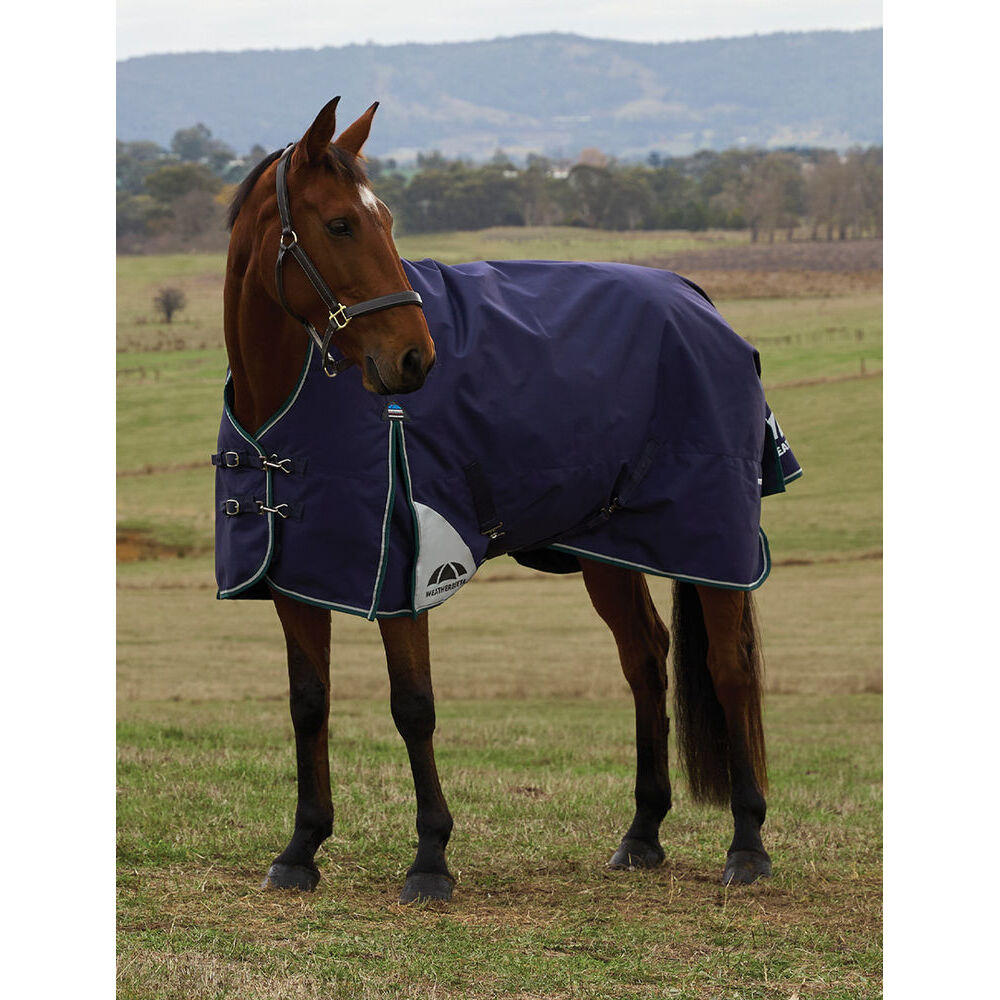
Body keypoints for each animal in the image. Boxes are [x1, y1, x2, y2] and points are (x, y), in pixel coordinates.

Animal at [221, 96, 772, 904]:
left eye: (386, 219)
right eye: (341, 224)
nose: (414, 358)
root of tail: (697, 300)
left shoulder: (405, 573)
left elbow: (413, 706)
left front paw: (430, 858)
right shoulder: (299, 575)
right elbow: (308, 703)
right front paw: (301, 849)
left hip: (710, 540)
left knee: (729, 668)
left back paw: (748, 845)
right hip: (610, 548)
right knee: (646, 659)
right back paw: (642, 833)